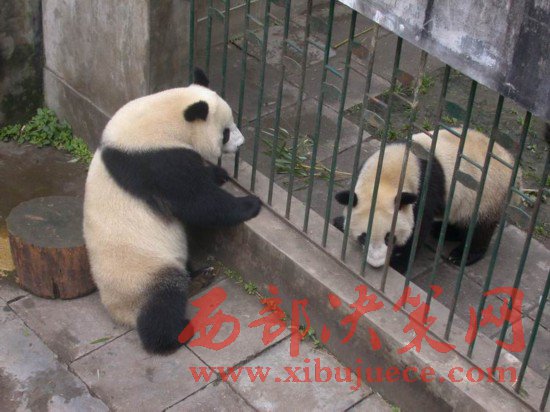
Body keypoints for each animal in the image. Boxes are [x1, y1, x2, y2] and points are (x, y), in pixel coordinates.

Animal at [83, 68, 262, 354]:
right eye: (225, 132)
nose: (241, 143)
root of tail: (119, 313)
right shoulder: (156, 162)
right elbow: (197, 200)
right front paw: (250, 204)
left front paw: (219, 173)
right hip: (143, 273)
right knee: (162, 303)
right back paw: (174, 335)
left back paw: (201, 275)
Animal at [333, 128, 516, 274]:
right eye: (364, 236)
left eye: (389, 237)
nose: (376, 263)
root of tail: (511, 161)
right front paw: (339, 222)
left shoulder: (425, 191)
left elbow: (417, 231)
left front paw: (397, 263)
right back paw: (445, 231)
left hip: (489, 193)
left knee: (479, 226)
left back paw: (462, 255)